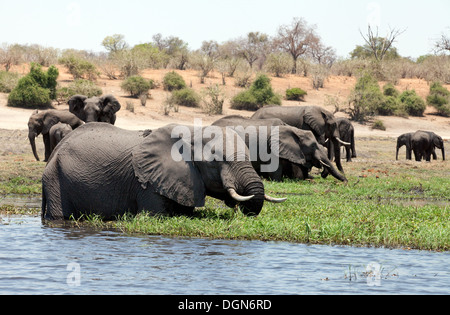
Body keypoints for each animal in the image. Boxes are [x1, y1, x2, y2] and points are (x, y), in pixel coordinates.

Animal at [40, 122, 284, 221]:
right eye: (216, 160)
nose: (242, 211)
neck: (192, 131)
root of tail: (53, 154)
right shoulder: (148, 183)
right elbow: (155, 215)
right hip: (56, 179)